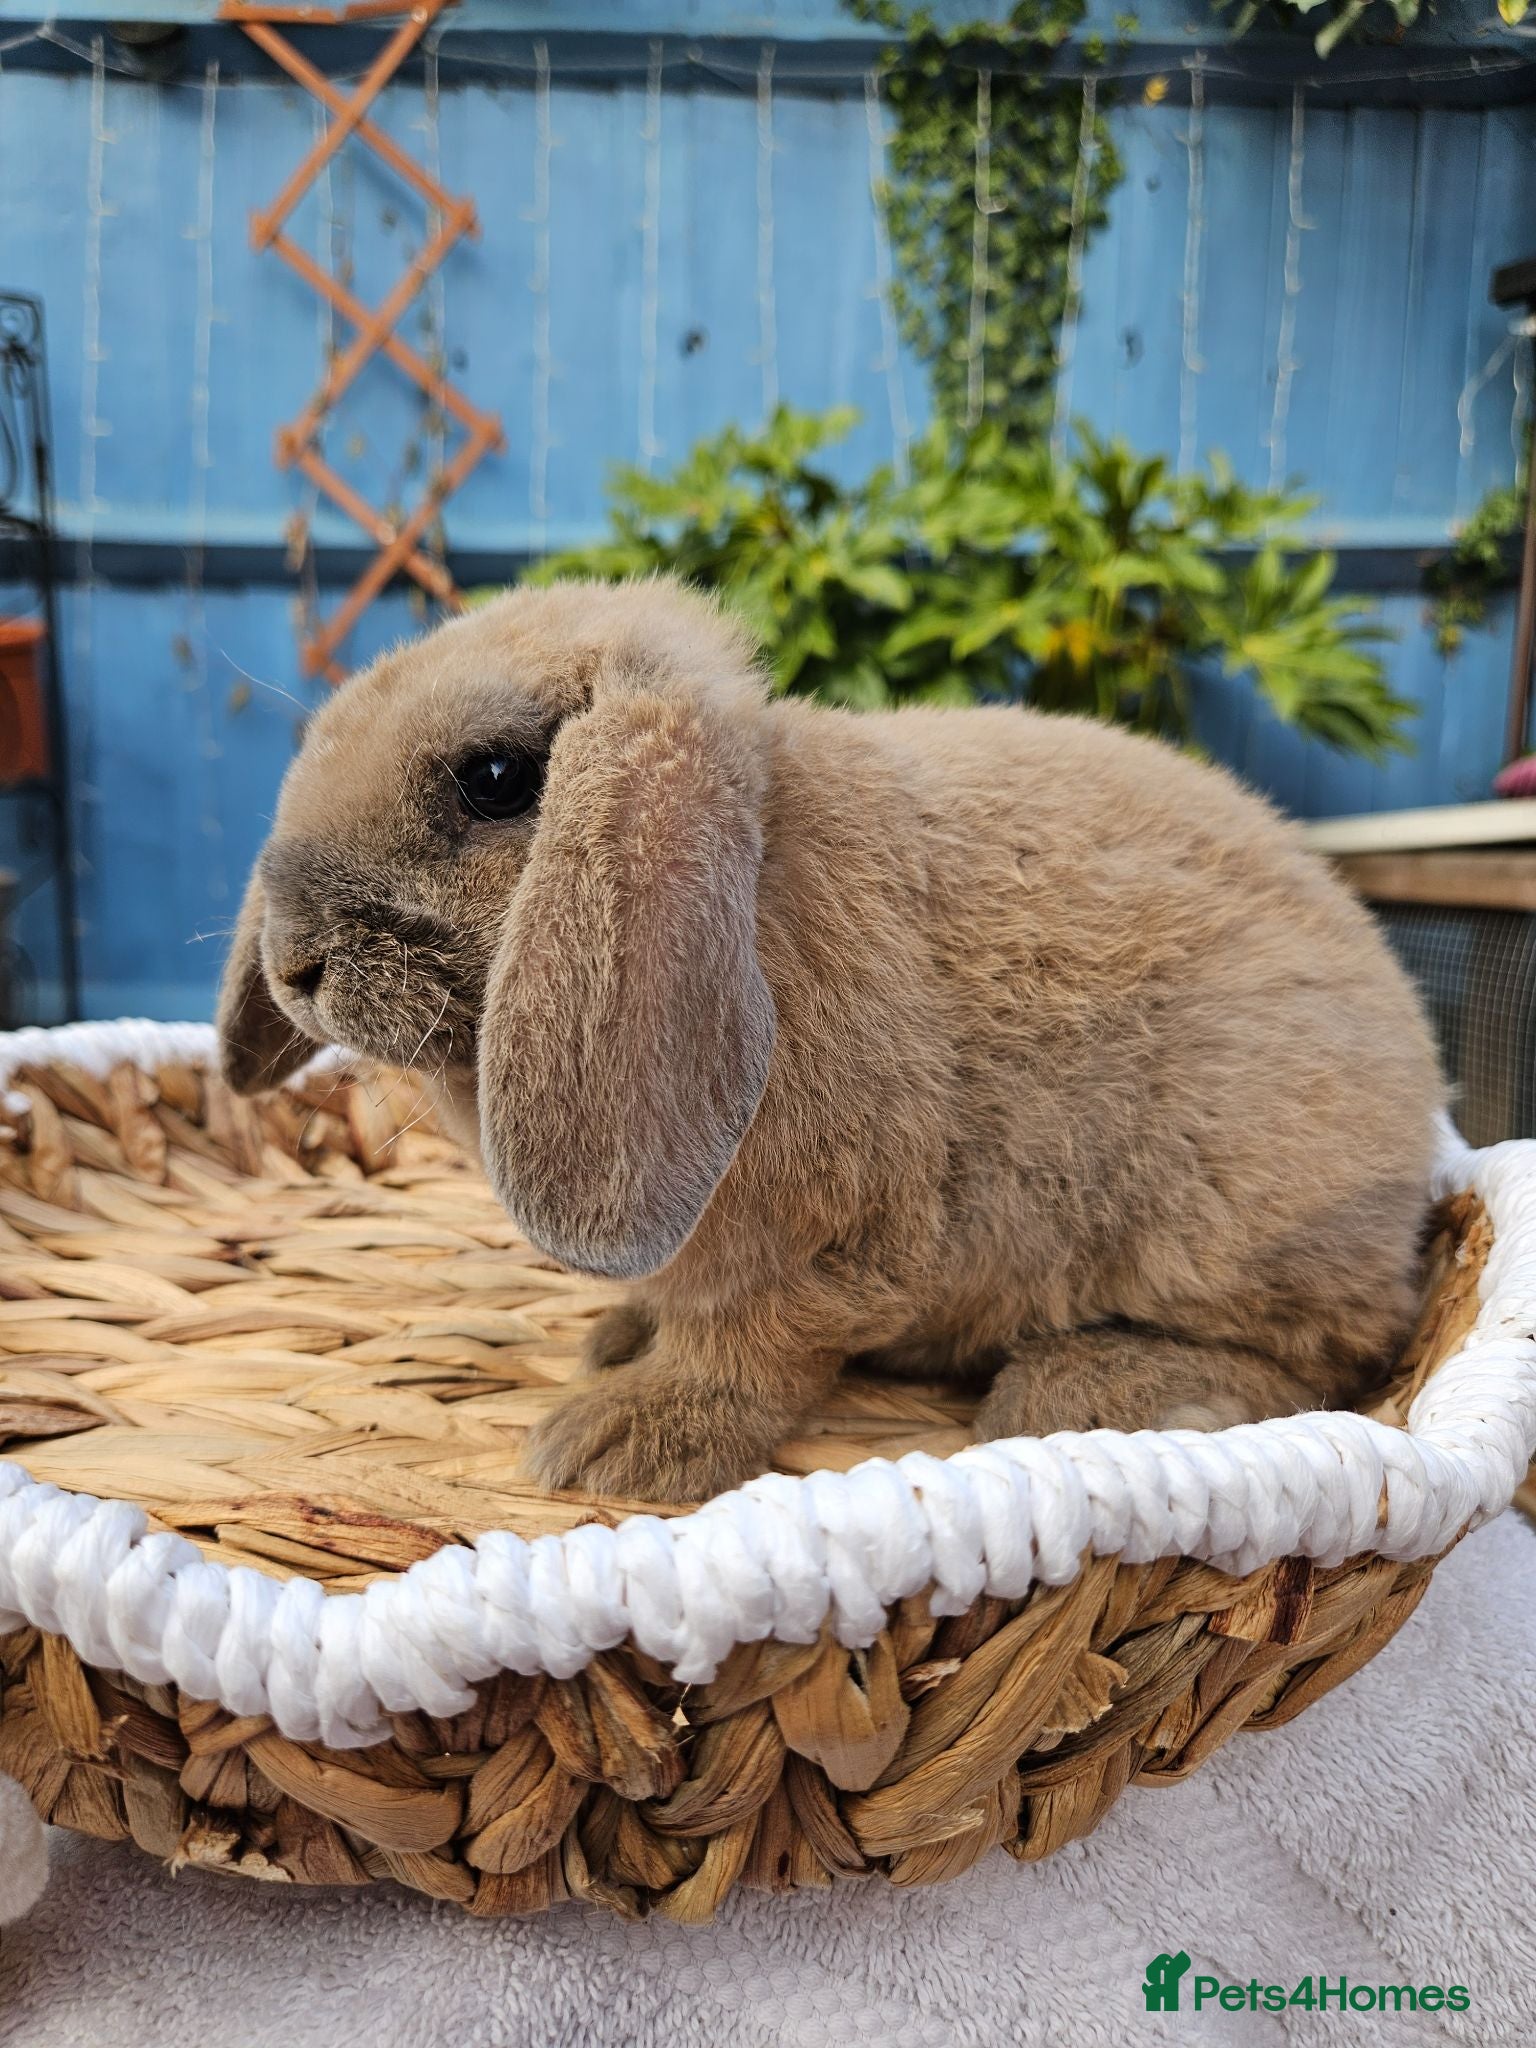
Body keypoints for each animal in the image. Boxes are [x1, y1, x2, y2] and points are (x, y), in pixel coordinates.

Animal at [217, 577, 1443, 1504]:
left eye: (495, 777)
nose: (294, 965)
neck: (758, 888)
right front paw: (619, 1338)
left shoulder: (818, 1251)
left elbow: (750, 1351)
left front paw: (617, 1443)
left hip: (1230, 1223)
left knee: (1332, 1354)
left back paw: (1081, 1390)